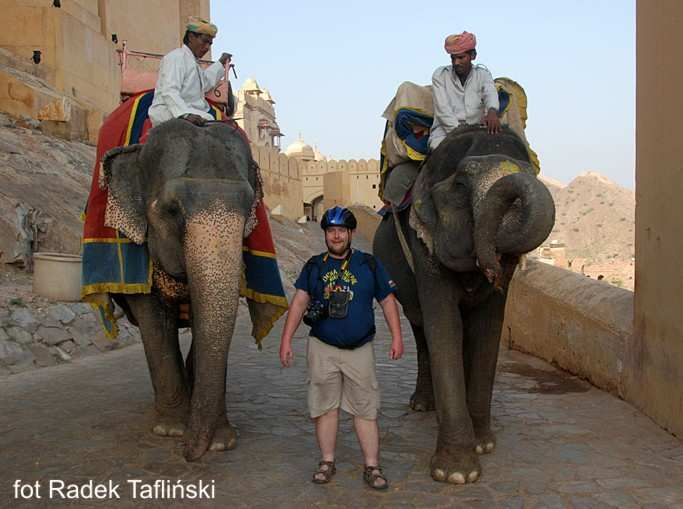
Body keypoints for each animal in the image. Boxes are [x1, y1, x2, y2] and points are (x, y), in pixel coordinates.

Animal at [101, 119, 260, 460]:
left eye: (249, 208)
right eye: (171, 210)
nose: (189, 453)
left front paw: (220, 441)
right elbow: (154, 320)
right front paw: (171, 429)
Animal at [374, 125, 556, 482]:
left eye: (532, 173)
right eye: (460, 184)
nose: (490, 268)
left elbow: (487, 329)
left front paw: (483, 445)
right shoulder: (424, 244)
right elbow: (445, 326)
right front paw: (456, 474)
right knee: (420, 328)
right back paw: (422, 405)